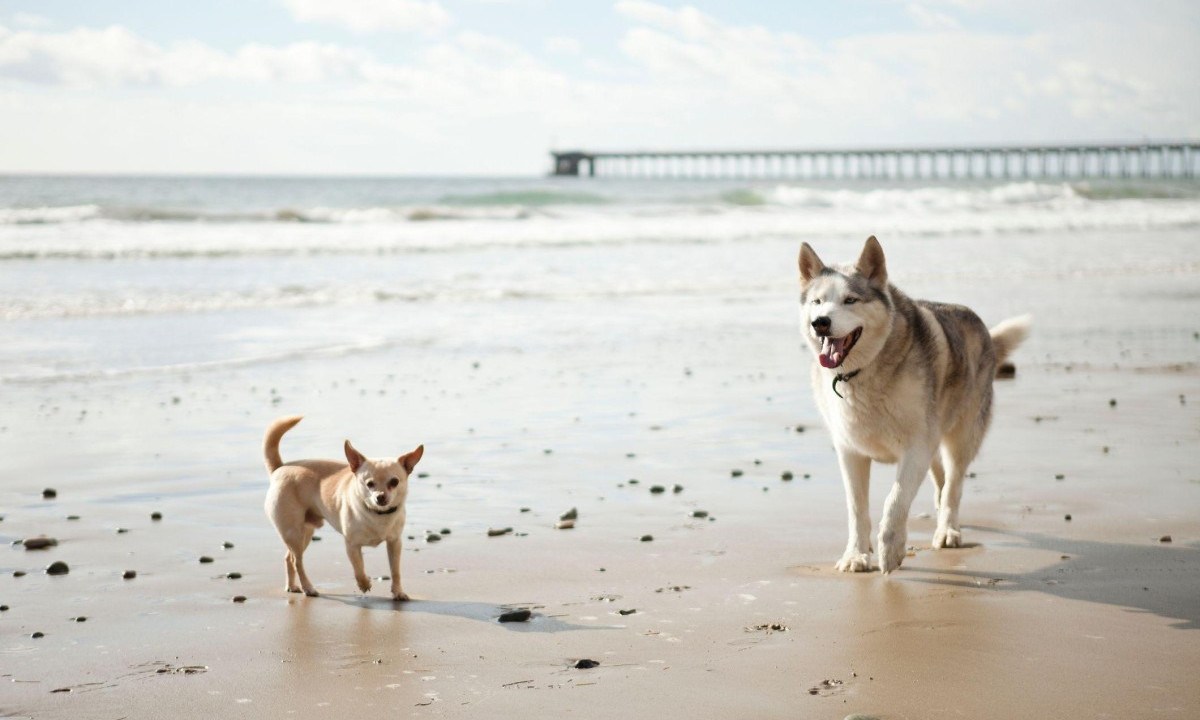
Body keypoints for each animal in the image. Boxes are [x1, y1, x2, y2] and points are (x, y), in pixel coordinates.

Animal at [796, 236, 1032, 573]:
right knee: (941, 477)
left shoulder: (915, 447)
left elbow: (895, 500)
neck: (861, 373)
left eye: (850, 300)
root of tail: (982, 327)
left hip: (962, 436)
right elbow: (857, 508)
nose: (821, 323)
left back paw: (947, 530)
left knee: (954, 485)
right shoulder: (850, 451)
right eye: (817, 302)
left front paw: (891, 548)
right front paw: (856, 554)